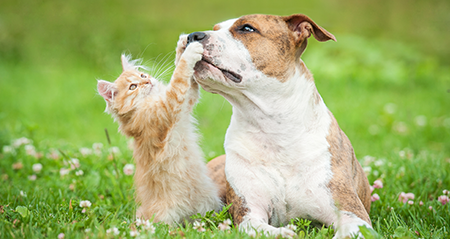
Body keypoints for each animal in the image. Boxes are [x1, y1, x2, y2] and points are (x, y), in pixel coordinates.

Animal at [99, 42, 224, 224]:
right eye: (133, 87)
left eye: (142, 75)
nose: (147, 81)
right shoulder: (167, 107)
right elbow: (179, 75)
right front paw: (190, 50)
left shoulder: (185, 103)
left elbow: (188, 83)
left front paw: (182, 46)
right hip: (165, 218)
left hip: (210, 204)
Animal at [179, 14, 372, 238]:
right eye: (216, 28)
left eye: (247, 28)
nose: (192, 36)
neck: (274, 128)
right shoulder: (249, 213)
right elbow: (263, 229)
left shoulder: (353, 214)